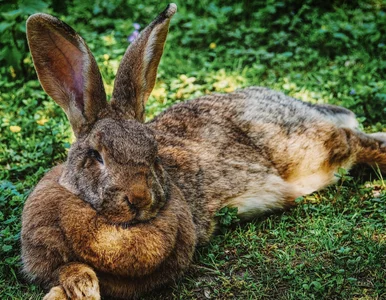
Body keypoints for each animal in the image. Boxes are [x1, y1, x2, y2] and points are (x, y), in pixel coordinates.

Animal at [21, 2, 386, 300]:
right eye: (96, 157)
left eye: (154, 153)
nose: (139, 198)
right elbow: (66, 272)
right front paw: (78, 287)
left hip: (306, 150)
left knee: (353, 142)